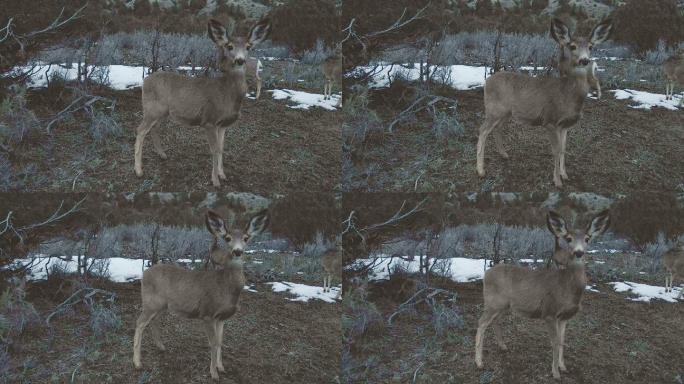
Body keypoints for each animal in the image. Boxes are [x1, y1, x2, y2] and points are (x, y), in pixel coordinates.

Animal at [132, 18, 272, 187]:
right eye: (229, 46)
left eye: (248, 47)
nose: (240, 60)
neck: (227, 94)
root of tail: (145, 80)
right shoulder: (209, 120)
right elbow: (214, 150)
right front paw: (215, 181)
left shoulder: (223, 125)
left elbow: (221, 148)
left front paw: (222, 175)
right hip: (152, 108)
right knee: (140, 130)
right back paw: (138, 171)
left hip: (162, 112)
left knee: (153, 128)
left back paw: (162, 155)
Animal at [132, 208, 268, 380]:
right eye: (228, 238)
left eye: (246, 238)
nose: (237, 251)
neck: (226, 289)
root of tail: (145, 273)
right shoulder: (207, 313)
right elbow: (213, 343)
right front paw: (214, 374)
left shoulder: (222, 318)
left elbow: (220, 341)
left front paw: (221, 367)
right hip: (151, 301)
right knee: (139, 323)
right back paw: (137, 363)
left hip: (162, 305)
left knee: (153, 321)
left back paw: (161, 347)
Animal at [472, 210, 612, 380]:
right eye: (569, 238)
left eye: (587, 238)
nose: (579, 252)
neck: (567, 288)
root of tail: (486, 273)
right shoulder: (549, 312)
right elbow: (555, 343)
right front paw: (555, 373)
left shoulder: (564, 317)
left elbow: (562, 341)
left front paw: (563, 367)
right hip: (493, 301)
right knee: (481, 323)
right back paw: (479, 362)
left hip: (504, 305)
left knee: (495, 321)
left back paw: (503, 346)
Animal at [476, 19, 616, 188]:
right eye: (572, 46)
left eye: (591, 46)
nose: (584, 60)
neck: (568, 95)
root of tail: (487, 81)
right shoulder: (550, 120)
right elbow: (555, 150)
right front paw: (557, 181)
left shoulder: (565, 126)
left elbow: (563, 149)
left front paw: (565, 175)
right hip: (494, 109)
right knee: (483, 130)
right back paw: (480, 170)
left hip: (506, 112)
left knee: (497, 128)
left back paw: (504, 154)